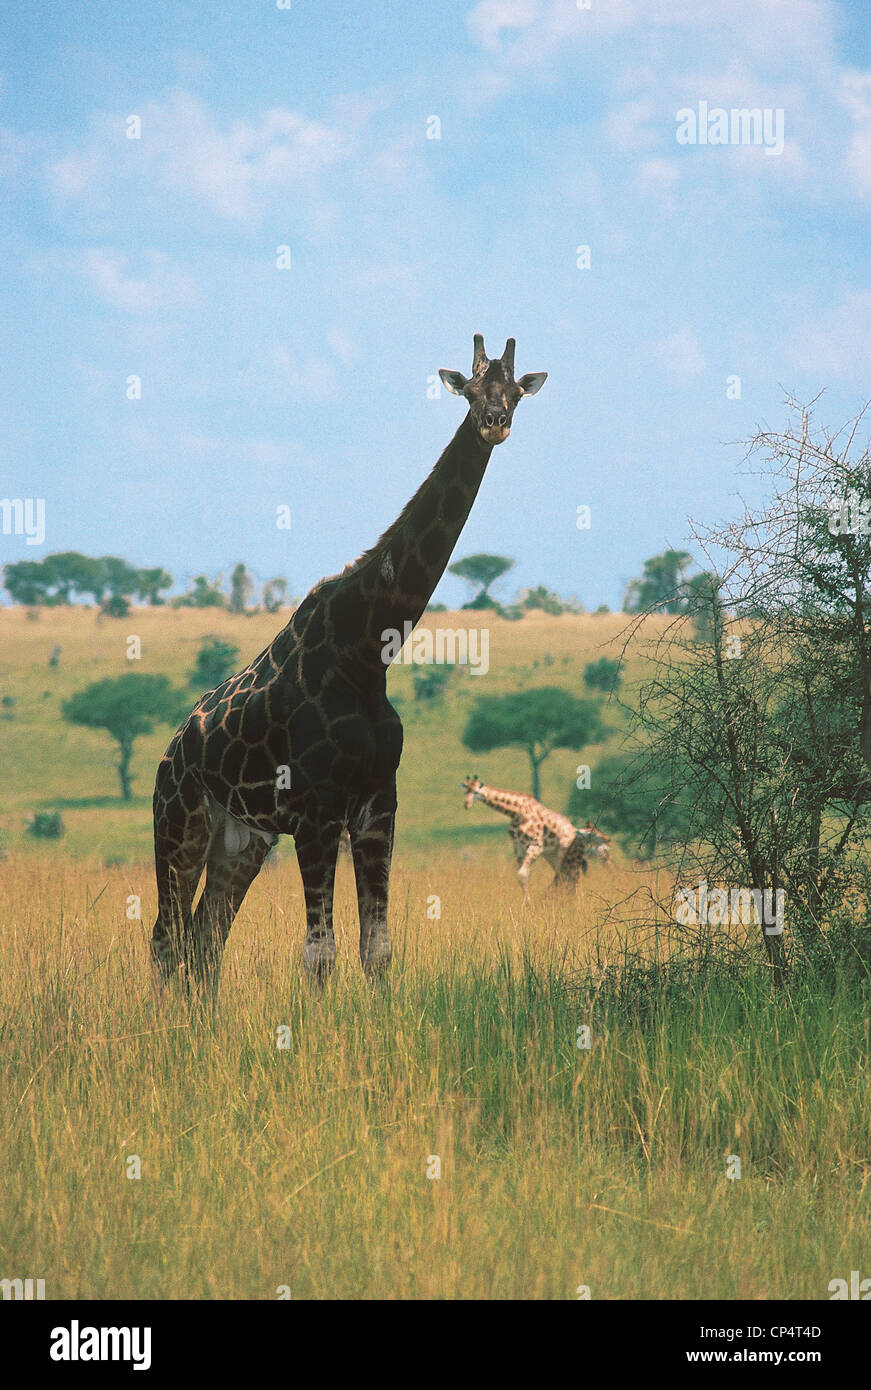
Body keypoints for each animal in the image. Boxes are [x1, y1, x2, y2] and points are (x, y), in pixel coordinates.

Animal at [150, 333, 544, 1000]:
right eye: (468, 390)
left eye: (514, 391)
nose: (494, 422)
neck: (366, 653)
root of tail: (173, 748)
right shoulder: (317, 812)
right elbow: (320, 957)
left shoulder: (378, 807)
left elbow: (376, 951)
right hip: (179, 824)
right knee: (165, 939)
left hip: (242, 841)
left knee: (204, 942)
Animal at [461, 778, 589, 895]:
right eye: (465, 791)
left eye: (476, 792)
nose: (466, 804)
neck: (517, 812)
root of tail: (576, 832)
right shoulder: (518, 848)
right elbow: (522, 877)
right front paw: (526, 903)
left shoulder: (536, 845)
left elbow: (522, 875)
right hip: (553, 855)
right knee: (564, 874)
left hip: (565, 851)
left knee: (573, 874)